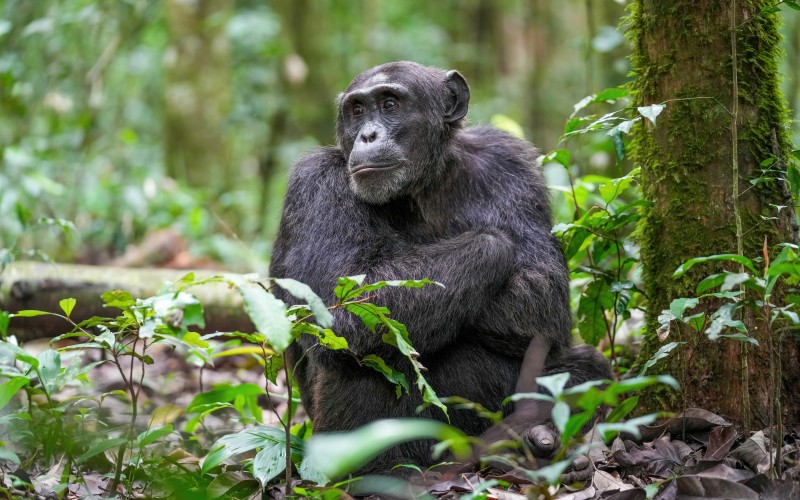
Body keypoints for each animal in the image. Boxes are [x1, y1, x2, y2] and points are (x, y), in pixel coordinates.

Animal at [268, 60, 612, 470]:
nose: (367, 134)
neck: (422, 186)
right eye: (357, 110)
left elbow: (543, 290)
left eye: (390, 104)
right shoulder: (314, 181)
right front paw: (492, 244)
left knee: (592, 368)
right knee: (360, 357)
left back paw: (534, 434)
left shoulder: (509, 163)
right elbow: (336, 304)